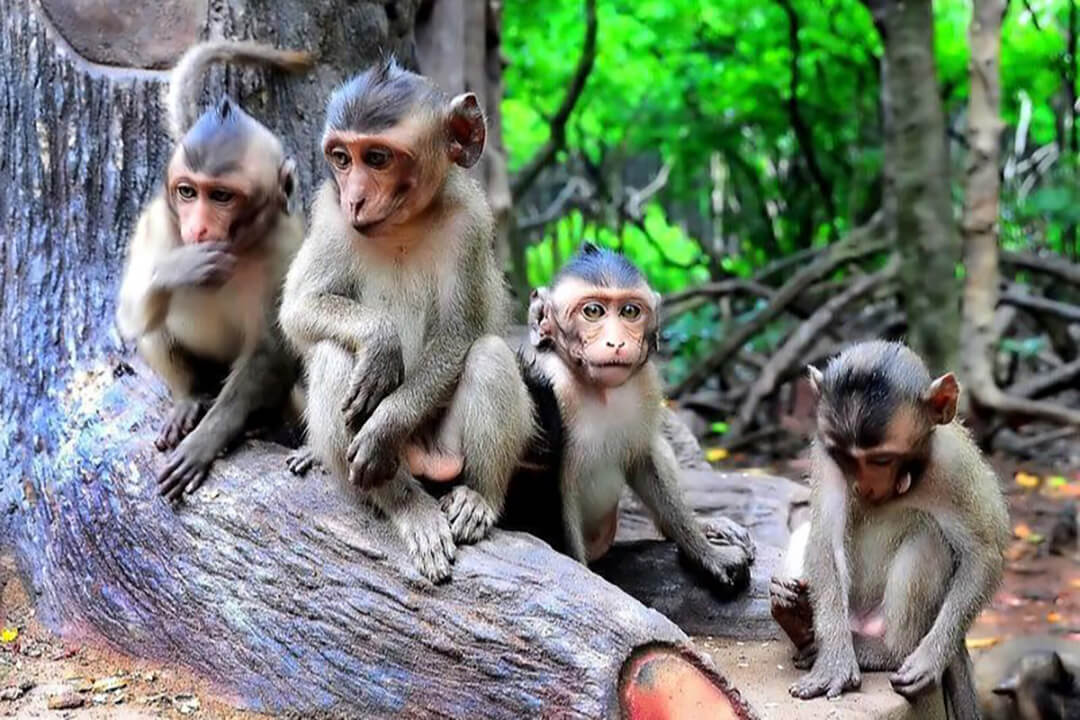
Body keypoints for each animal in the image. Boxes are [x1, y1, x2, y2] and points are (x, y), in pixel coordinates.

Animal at [115, 40, 313, 502]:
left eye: (221, 196)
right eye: (188, 192)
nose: (199, 228)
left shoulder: (288, 251)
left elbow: (270, 350)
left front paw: (207, 439)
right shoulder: (156, 223)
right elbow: (129, 315)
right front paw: (182, 267)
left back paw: (260, 423)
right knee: (154, 322)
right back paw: (188, 398)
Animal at [278, 58, 534, 583]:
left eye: (377, 158)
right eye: (341, 158)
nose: (355, 199)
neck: (402, 224)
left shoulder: (469, 222)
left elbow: (460, 334)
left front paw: (384, 425)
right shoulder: (329, 213)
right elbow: (298, 307)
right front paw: (379, 341)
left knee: (489, 356)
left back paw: (478, 498)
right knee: (335, 355)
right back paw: (404, 504)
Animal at [497, 244, 755, 593]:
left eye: (630, 312)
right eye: (593, 311)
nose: (617, 342)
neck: (597, 390)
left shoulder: (646, 384)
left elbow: (645, 460)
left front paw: (705, 551)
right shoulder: (552, 384)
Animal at [769, 341, 1010, 720]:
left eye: (881, 459)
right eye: (845, 457)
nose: (864, 486)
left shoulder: (952, 464)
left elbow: (984, 553)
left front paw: (930, 658)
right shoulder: (824, 448)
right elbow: (825, 535)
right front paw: (834, 661)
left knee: (929, 538)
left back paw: (886, 651)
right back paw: (797, 616)